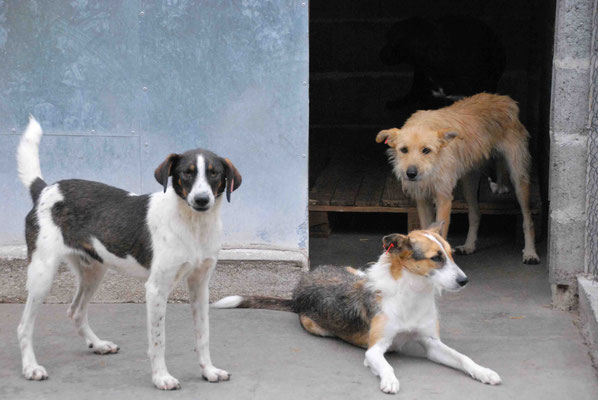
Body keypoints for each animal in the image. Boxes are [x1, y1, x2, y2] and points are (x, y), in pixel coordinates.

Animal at [16, 117, 241, 390]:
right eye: (186, 173)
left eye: (214, 173)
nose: (201, 200)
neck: (194, 225)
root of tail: (45, 189)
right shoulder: (156, 289)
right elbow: (158, 340)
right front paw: (161, 377)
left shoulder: (200, 285)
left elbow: (203, 335)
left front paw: (208, 370)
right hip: (43, 272)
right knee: (24, 326)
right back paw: (30, 367)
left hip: (93, 271)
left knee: (76, 311)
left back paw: (98, 344)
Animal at [380, 92, 544, 264]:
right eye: (404, 150)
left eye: (426, 150)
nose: (411, 173)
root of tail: (505, 99)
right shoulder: (422, 199)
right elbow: (426, 231)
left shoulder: (444, 198)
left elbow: (440, 234)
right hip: (469, 183)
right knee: (475, 214)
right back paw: (469, 245)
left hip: (519, 179)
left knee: (528, 220)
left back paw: (530, 253)